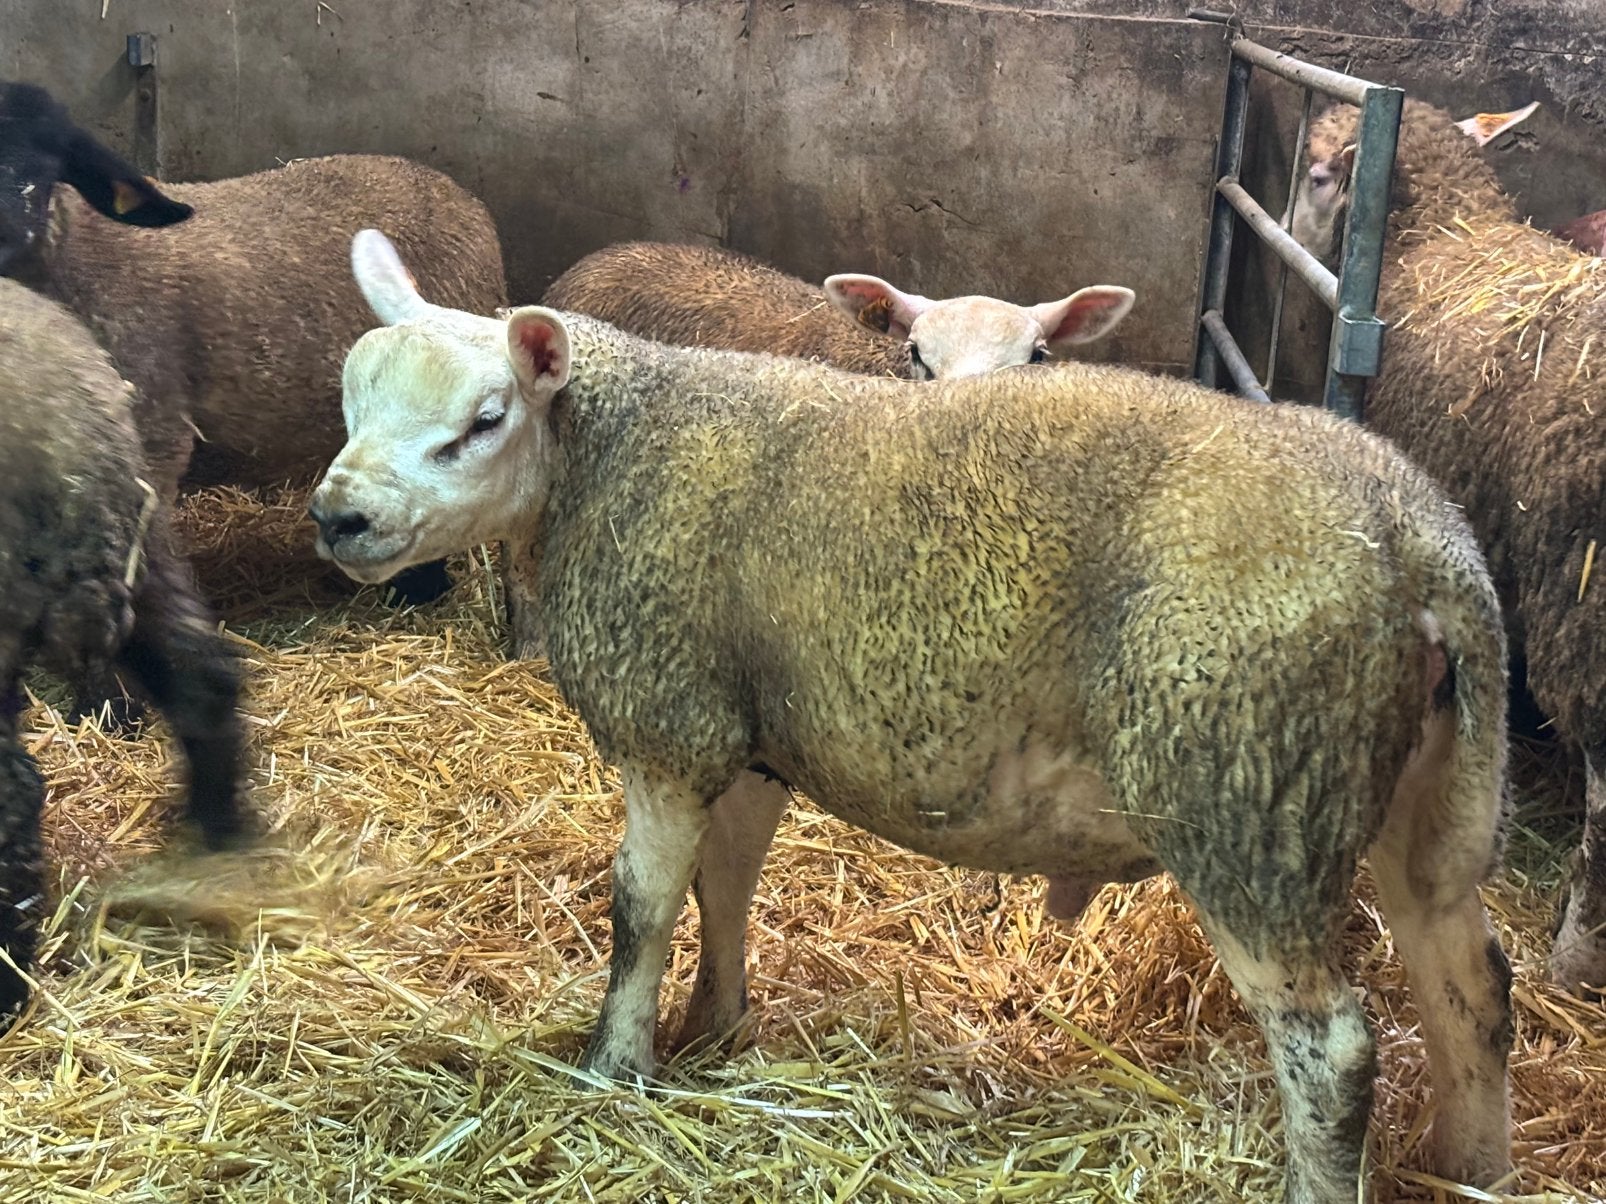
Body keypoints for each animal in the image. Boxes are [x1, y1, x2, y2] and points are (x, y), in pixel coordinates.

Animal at [0, 80, 509, 719]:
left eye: (51, 163)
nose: (8, 232)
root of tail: (459, 193)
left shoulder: (151, 442)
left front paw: (115, 705)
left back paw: (419, 590)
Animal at [309, 227, 1518, 1203]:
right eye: (352, 404)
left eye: (482, 422)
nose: (338, 515)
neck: (612, 450)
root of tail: (1416, 534)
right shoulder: (749, 730)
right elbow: (725, 884)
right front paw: (716, 1026)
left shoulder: (668, 720)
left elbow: (640, 908)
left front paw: (616, 1065)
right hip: (1413, 784)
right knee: (1469, 980)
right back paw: (1472, 1163)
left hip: (1247, 789)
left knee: (1334, 1049)